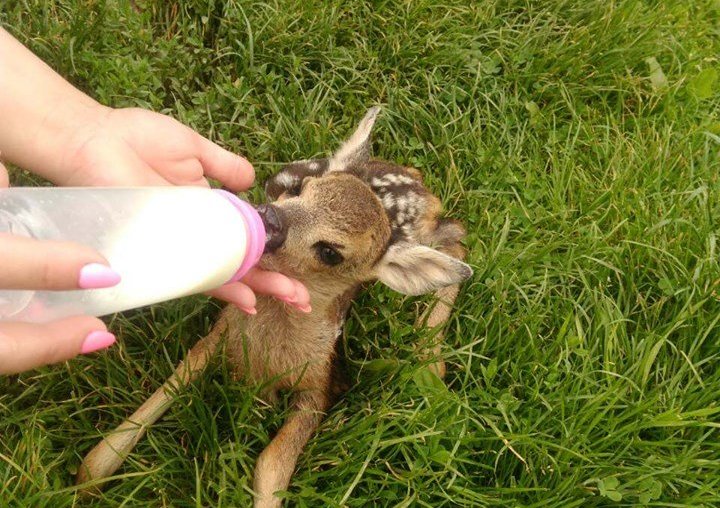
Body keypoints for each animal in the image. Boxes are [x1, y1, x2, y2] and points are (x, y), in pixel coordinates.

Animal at [77, 107, 472, 504]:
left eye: (330, 252)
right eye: (301, 189)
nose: (269, 218)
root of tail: (416, 179)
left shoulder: (321, 386)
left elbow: (271, 464)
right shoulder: (219, 334)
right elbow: (166, 389)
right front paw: (88, 477)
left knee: (458, 237)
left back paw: (432, 358)